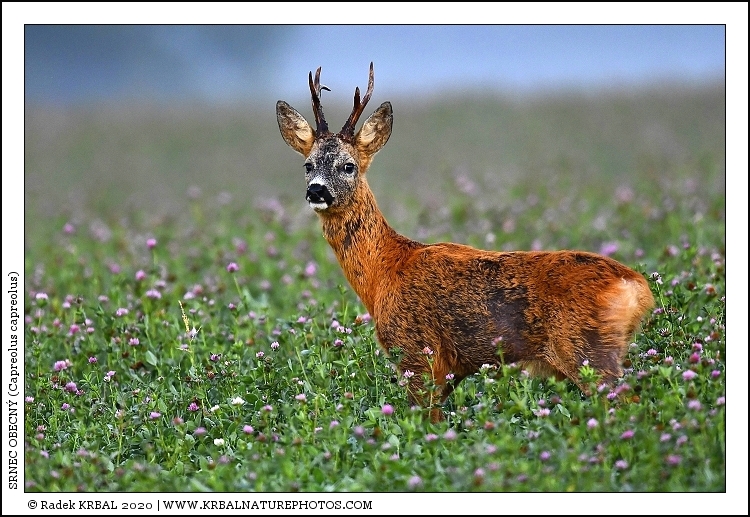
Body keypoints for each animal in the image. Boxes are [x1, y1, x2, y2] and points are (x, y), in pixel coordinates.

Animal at [276, 63, 654, 423]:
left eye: (348, 166)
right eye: (308, 165)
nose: (317, 191)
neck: (385, 271)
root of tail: (637, 286)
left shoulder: (418, 353)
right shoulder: (451, 371)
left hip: (587, 351)